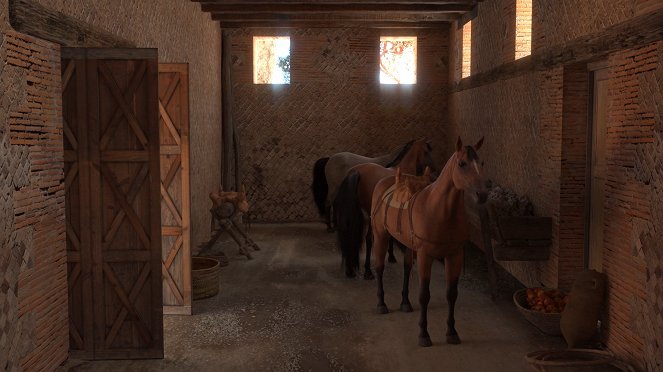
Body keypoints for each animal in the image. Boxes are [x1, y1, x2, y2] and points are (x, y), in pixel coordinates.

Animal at [332, 139, 436, 280]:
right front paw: (393, 256)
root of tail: (356, 172)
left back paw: (350, 269)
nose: (435, 170)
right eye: (427, 151)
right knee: (369, 239)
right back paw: (368, 271)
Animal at [374, 138, 492, 348]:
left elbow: (452, 294)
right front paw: (423, 334)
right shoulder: (425, 256)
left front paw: (452, 332)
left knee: (406, 269)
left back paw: (405, 303)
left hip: (408, 246)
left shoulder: (454, 255)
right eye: (462, 164)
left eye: (482, 163)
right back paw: (381, 304)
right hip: (380, 235)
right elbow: (424, 295)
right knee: (379, 268)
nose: (483, 194)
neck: (439, 210)